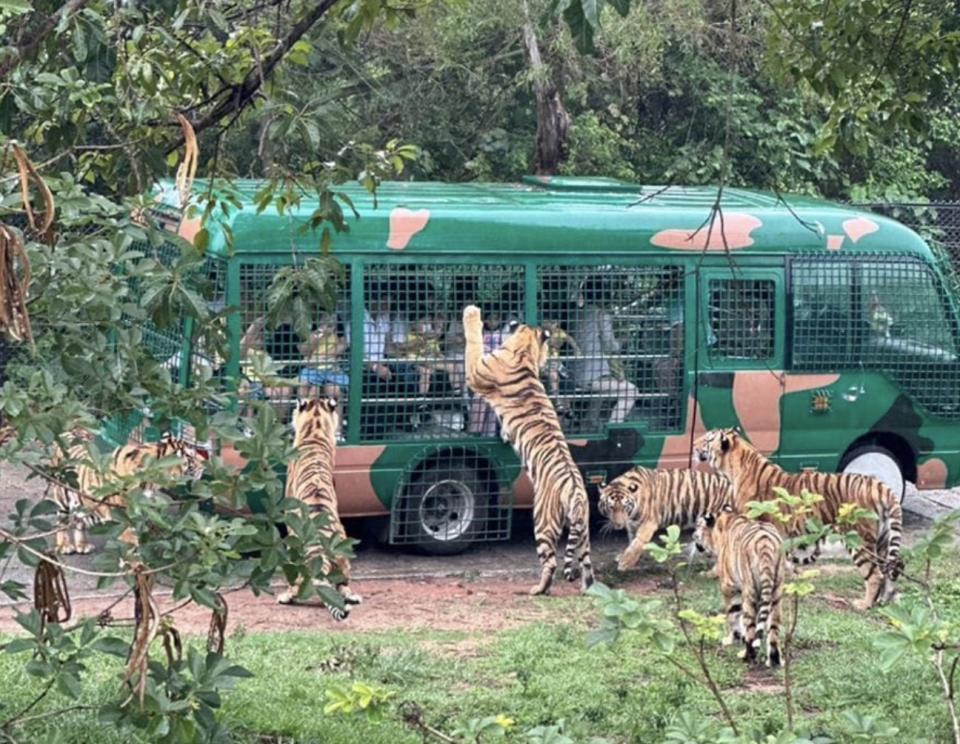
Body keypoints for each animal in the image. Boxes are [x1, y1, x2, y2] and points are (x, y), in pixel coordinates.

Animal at [49, 428, 205, 556]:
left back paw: (82, 546)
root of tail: (69, 431)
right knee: (61, 522)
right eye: (191, 456)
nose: (204, 464)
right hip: (61, 497)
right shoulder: (125, 518)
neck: (152, 481)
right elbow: (131, 545)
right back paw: (64, 546)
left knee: (79, 520)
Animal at [276, 396, 362, 620]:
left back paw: (285, 597)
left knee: (297, 586)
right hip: (344, 555)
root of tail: (321, 549)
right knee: (343, 586)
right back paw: (352, 597)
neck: (315, 429)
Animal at [464, 306, 592, 596]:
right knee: (586, 564)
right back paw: (588, 590)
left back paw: (538, 589)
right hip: (584, 529)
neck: (522, 351)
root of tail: (577, 492)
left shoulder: (476, 372)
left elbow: (473, 342)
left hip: (542, 520)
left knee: (551, 563)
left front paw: (472, 313)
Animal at [600, 468, 736, 572]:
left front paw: (625, 563)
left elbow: (637, 543)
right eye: (611, 507)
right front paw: (626, 558)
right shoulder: (632, 525)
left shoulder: (649, 523)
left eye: (624, 507)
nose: (619, 524)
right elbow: (632, 540)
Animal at [692, 508, 784, 664]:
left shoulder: (729, 588)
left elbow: (733, 615)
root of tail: (765, 543)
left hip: (750, 593)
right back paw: (774, 660)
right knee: (773, 629)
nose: (693, 536)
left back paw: (746, 655)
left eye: (698, 525)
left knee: (751, 629)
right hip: (775, 594)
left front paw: (732, 639)